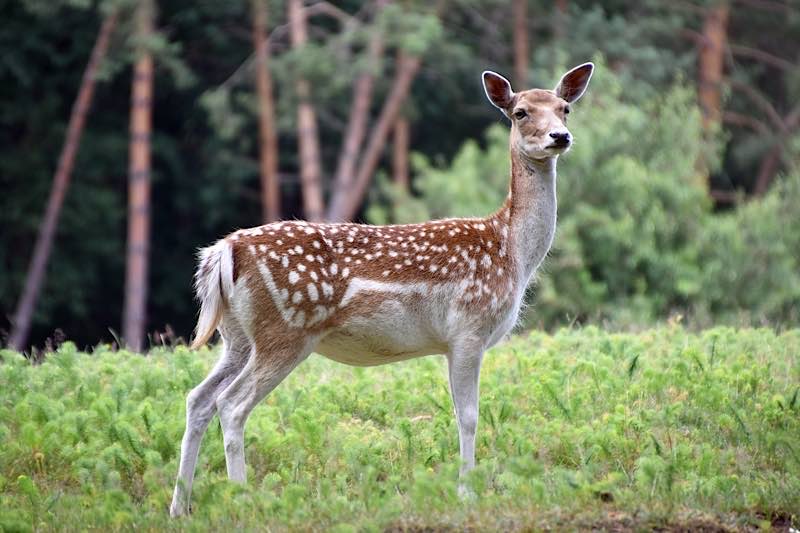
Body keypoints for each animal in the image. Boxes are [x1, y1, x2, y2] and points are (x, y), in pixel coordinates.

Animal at [169, 62, 592, 516]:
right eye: (520, 112)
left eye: (565, 108)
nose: (559, 137)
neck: (510, 251)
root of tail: (224, 252)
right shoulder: (469, 328)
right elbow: (469, 415)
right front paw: (467, 492)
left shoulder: (456, 339)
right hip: (284, 330)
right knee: (231, 405)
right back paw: (244, 500)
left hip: (236, 336)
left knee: (198, 399)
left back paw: (179, 506)